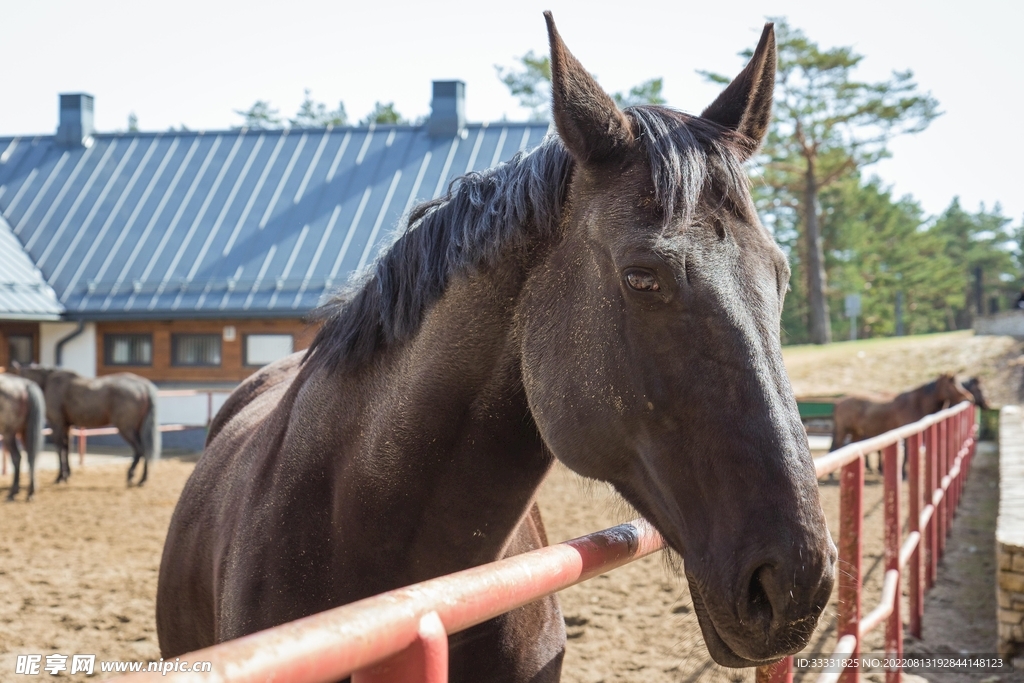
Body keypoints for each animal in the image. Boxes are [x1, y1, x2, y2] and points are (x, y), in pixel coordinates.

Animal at [0, 373, 45, 501]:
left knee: (17, 457)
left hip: (9, 433)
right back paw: (31, 491)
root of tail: (26, 385)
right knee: (32, 456)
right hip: (26, 431)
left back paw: (13, 492)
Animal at [9, 361, 161, 486]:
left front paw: (60, 477)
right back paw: (143, 479)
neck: (48, 381)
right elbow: (67, 448)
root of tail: (143, 386)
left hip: (126, 428)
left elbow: (60, 448)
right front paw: (67, 475)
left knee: (140, 449)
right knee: (146, 450)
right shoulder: (67, 426)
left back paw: (132, 475)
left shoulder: (57, 424)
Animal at [829, 373, 974, 471]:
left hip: (856, 432)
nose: (969, 397)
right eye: (950, 386)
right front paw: (904, 473)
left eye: (959, 384)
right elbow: (907, 454)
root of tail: (839, 401)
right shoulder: (907, 432)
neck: (916, 404)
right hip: (843, 430)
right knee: (835, 446)